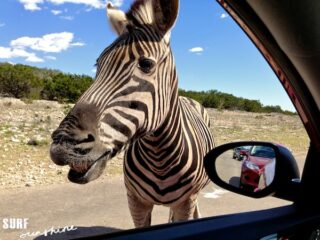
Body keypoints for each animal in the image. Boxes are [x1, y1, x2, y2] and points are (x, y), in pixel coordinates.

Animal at [50, 0, 215, 228]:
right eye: (98, 64)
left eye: (146, 64)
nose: (62, 146)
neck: (159, 157)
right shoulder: (136, 202)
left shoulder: (185, 203)